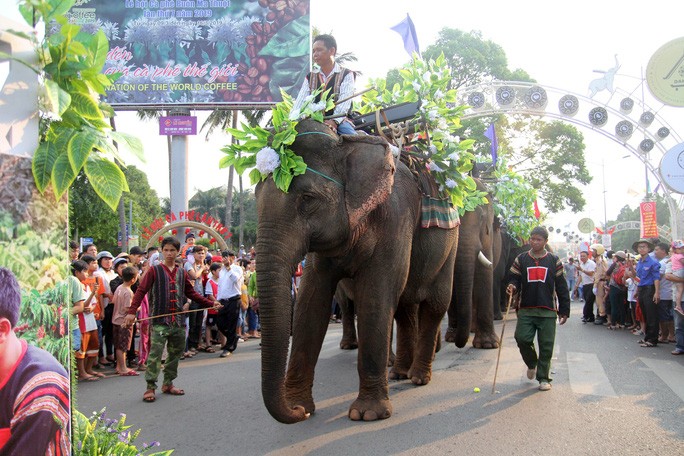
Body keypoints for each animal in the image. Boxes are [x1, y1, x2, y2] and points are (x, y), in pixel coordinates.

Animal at [255, 118, 460, 424]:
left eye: (308, 198)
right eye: (255, 197)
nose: (297, 413)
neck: (348, 144)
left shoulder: (395, 217)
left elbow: (376, 296)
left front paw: (368, 414)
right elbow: (310, 302)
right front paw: (302, 405)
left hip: (451, 244)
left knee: (435, 304)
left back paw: (418, 377)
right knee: (405, 305)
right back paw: (399, 372)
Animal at [444, 179, 502, 350]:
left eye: (482, 219)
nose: (459, 344)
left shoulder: (488, 239)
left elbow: (484, 273)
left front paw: (488, 345)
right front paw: (452, 337)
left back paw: (473, 330)